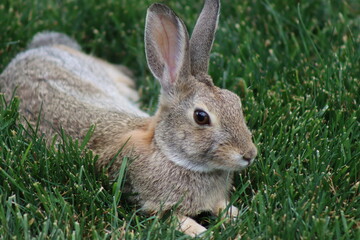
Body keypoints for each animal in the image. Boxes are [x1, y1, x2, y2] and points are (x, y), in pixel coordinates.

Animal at [0, 0, 258, 236]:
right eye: (201, 117)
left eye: (236, 101)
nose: (249, 155)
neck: (169, 153)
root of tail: (33, 51)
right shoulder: (157, 208)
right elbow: (180, 221)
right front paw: (204, 232)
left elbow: (224, 208)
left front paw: (236, 217)